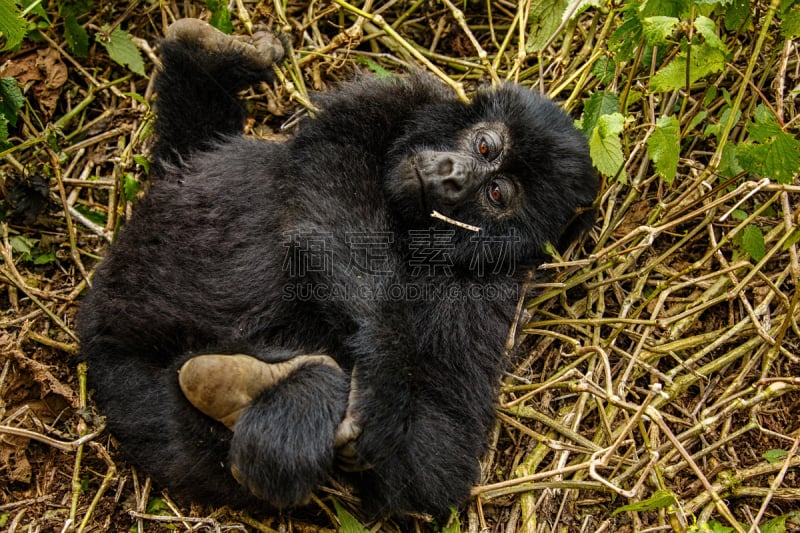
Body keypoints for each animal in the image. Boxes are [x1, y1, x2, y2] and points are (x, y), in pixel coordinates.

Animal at [78, 17, 596, 520]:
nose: (452, 176)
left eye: (497, 194)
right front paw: (382, 375)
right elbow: (337, 163)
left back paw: (264, 392)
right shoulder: (395, 100)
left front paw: (381, 393)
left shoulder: (485, 301)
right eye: (485, 147)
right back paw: (206, 51)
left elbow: (435, 458)